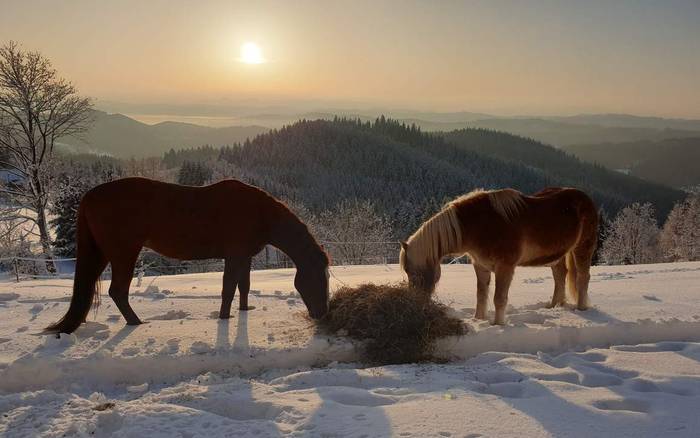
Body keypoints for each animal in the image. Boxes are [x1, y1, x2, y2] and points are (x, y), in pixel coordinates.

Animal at [46, 176, 330, 334]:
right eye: (320, 278)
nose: (322, 313)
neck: (260, 214)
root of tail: (89, 195)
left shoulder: (244, 256)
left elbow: (244, 286)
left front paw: (244, 310)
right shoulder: (235, 256)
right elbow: (228, 288)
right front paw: (224, 318)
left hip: (104, 253)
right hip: (123, 253)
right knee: (118, 291)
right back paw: (136, 324)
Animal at [402, 187, 600, 326]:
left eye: (414, 273)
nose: (416, 301)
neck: (478, 225)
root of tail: (585, 198)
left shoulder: (505, 267)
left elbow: (499, 298)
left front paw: (497, 324)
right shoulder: (480, 266)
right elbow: (481, 296)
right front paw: (478, 320)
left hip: (583, 248)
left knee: (583, 277)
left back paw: (581, 308)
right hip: (556, 256)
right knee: (560, 276)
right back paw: (554, 307)